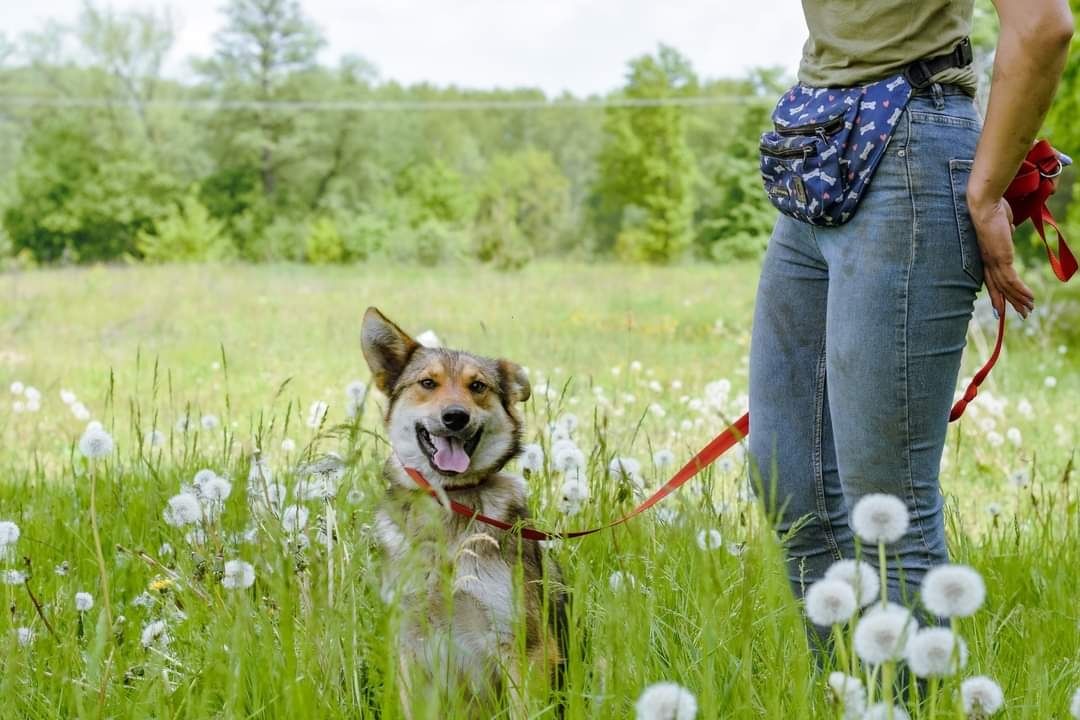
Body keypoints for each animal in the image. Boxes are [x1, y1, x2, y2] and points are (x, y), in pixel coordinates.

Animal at [360, 306, 570, 716]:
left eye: (478, 387)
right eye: (428, 383)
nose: (455, 416)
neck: (449, 505)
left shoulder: (525, 645)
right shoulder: (411, 647)